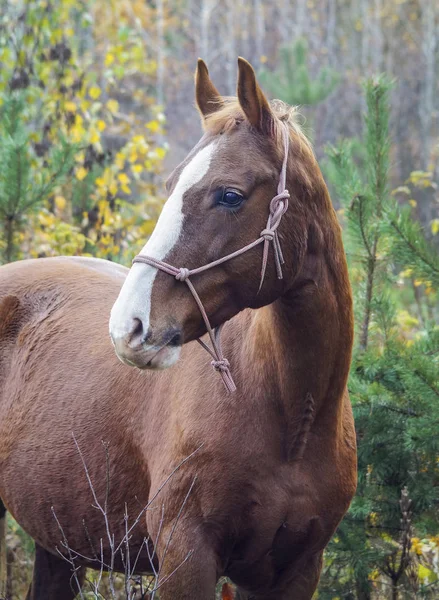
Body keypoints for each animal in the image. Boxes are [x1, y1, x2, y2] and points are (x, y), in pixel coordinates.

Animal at [0, 57, 358, 600]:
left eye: (229, 195)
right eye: (170, 186)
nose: (128, 326)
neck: (291, 421)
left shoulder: (294, 571)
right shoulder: (185, 558)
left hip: (59, 545)